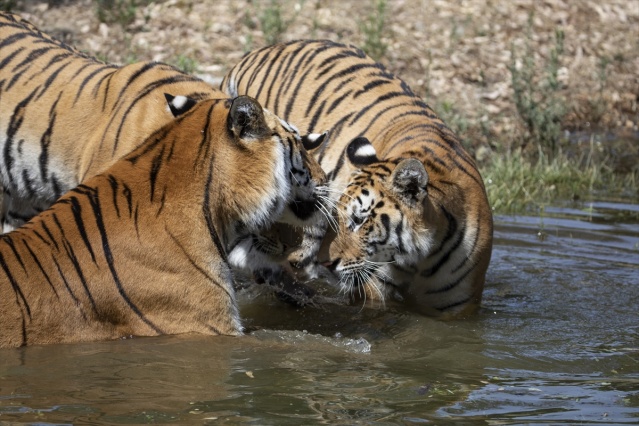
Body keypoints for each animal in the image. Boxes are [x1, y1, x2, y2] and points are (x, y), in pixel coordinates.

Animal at [221, 40, 496, 318]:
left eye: (360, 220)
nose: (327, 262)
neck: (421, 258)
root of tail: (260, 51)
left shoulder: (457, 308)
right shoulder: (374, 287)